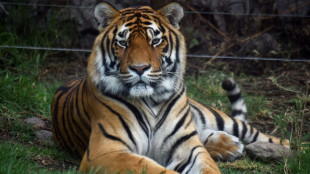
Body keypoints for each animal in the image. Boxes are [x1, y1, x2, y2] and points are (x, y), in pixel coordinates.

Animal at [52, 1, 290, 174]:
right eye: (123, 43)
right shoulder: (105, 152)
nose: (139, 68)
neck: (150, 100)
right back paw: (229, 145)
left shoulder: (188, 147)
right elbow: (150, 168)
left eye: (155, 41)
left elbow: (207, 167)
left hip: (217, 117)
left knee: (270, 137)